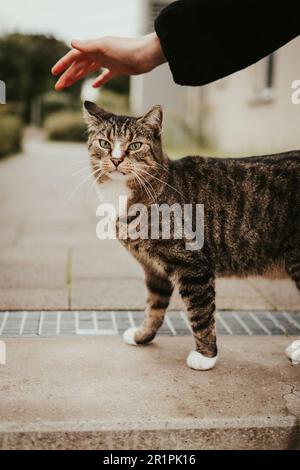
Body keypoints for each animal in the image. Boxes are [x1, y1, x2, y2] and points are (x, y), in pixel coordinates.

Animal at [82, 101, 300, 370]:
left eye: (135, 145)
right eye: (104, 143)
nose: (115, 159)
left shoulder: (192, 265)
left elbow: (201, 314)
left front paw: (206, 356)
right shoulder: (153, 269)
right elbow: (154, 307)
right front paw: (142, 335)